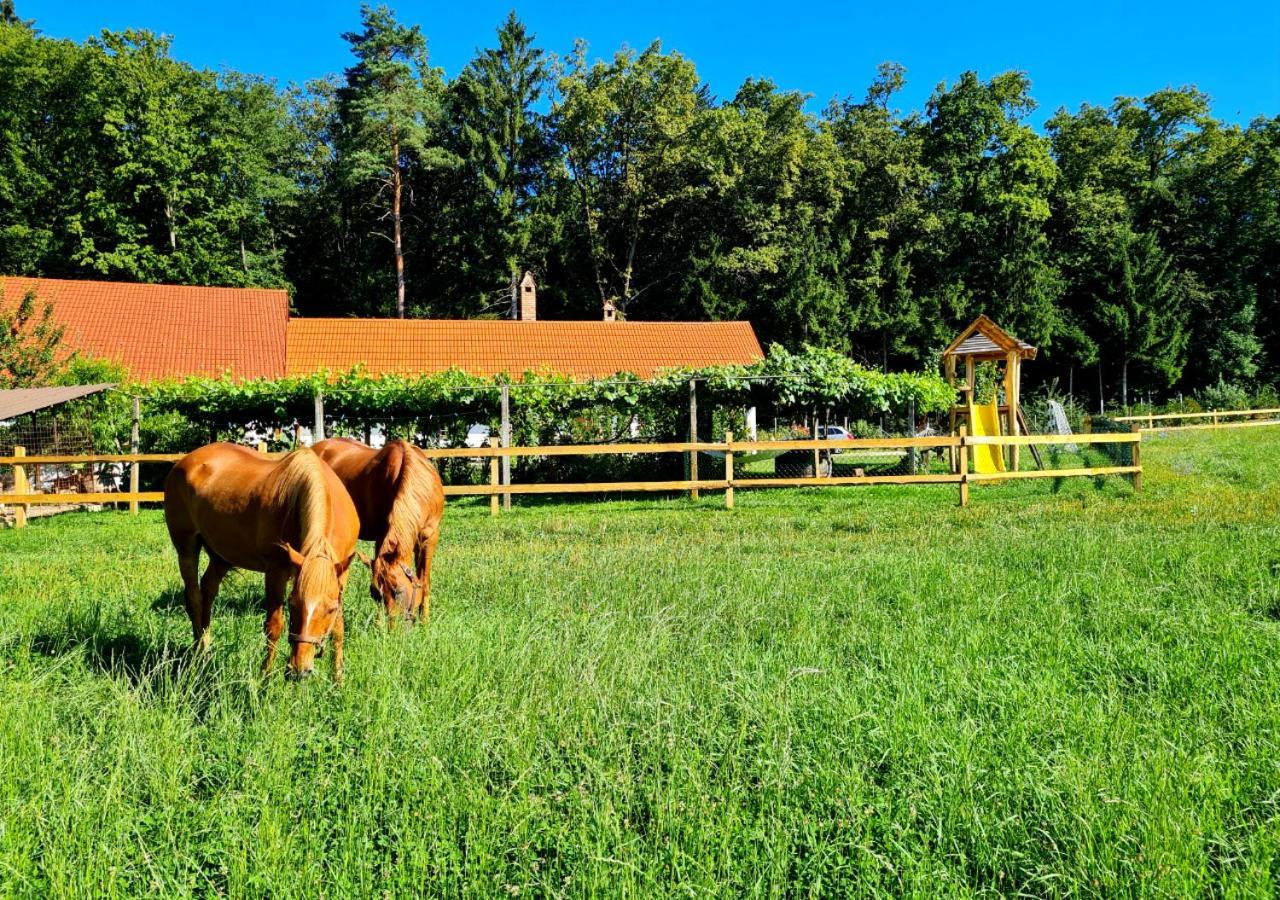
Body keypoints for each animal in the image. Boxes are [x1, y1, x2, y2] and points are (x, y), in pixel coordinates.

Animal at [162, 448, 360, 681]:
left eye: (330, 609)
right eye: (292, 603)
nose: (299, 671)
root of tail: (183, 461)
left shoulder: (341, 575)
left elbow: (338, 628)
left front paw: (338, 679)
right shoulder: (275, 571)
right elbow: (274, 626)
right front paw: (265, 678)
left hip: (221, 557)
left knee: (208, 592)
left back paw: (206, 650)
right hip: (186, 547)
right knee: (194, 597)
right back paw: (197, 654)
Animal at [313, 437, 445, 622]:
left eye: (399, 591)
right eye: (375, 593)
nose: (394, 628)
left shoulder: (429, 538)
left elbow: (424, 582)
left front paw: (424, 622)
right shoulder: (381, 536)